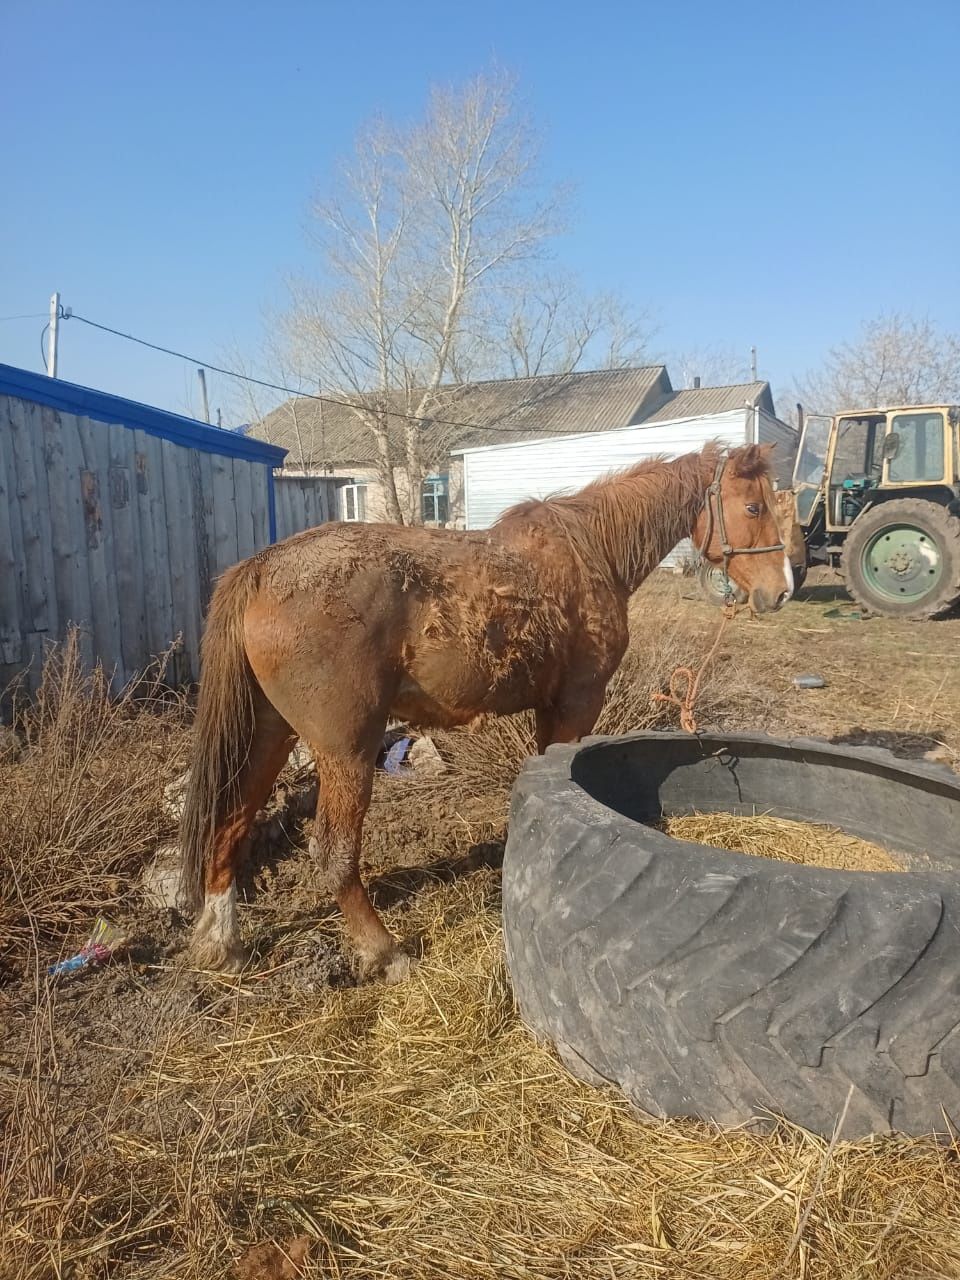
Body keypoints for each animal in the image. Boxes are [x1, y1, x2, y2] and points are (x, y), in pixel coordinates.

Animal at [181, 442, 798, 977]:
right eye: (753, 506)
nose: (782, 591)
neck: (589, 550)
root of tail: (262, 569)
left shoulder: (550, 709)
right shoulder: (577, 704)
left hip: (271, 736)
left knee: (231, 823)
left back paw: (221, 941)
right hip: (346, 752)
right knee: (333, 853)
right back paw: (384, 952)